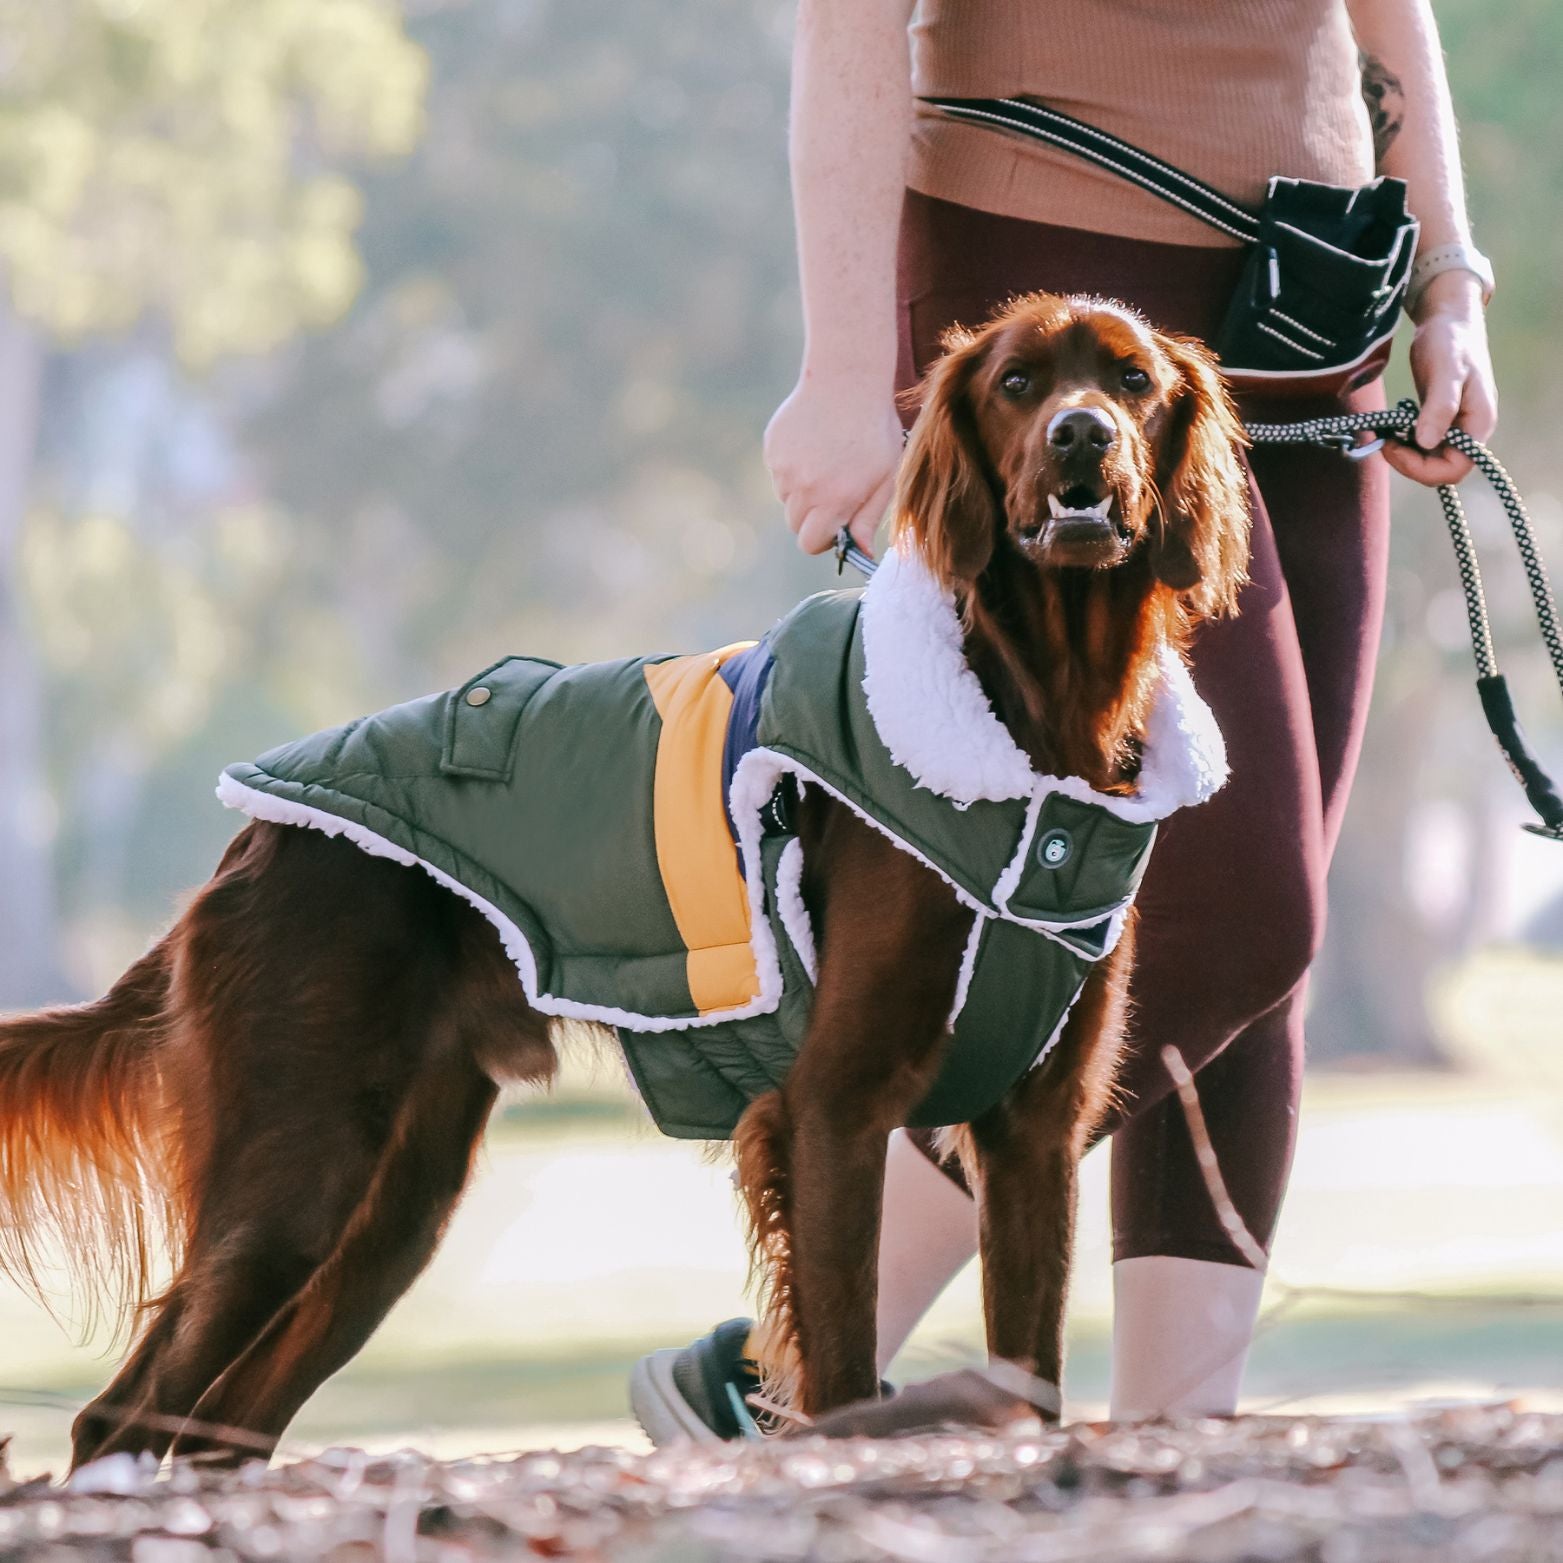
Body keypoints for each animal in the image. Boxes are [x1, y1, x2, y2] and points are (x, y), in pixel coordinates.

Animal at [0, 293, 1244, 1462]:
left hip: (395, 1206)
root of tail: (253, 842)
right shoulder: (837, 1106)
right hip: (294, 1171)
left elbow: (1029, 1379)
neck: (1037, 730)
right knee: (119, 1417)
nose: (1083, 436)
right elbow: (841, 1367)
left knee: (224, 1426)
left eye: (1133, 381)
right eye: (1018, 382)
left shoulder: (1036, 1134)